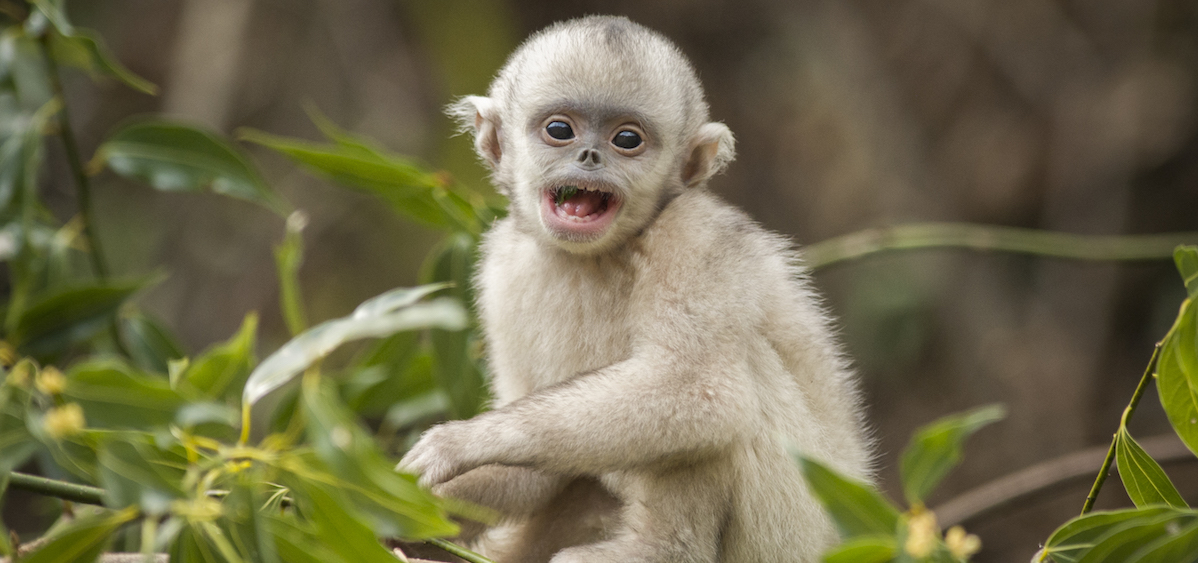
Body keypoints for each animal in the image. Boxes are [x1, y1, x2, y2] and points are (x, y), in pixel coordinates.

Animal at [402, 15, 872, 560]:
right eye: (559, 130)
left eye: (627, 139)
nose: (589, 155)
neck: (596, 257)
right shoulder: (502, 268)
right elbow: (530, 476)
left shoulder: (693, 236)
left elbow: (703, 390)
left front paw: (462, 442)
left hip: (793, 531)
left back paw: (657, 548)